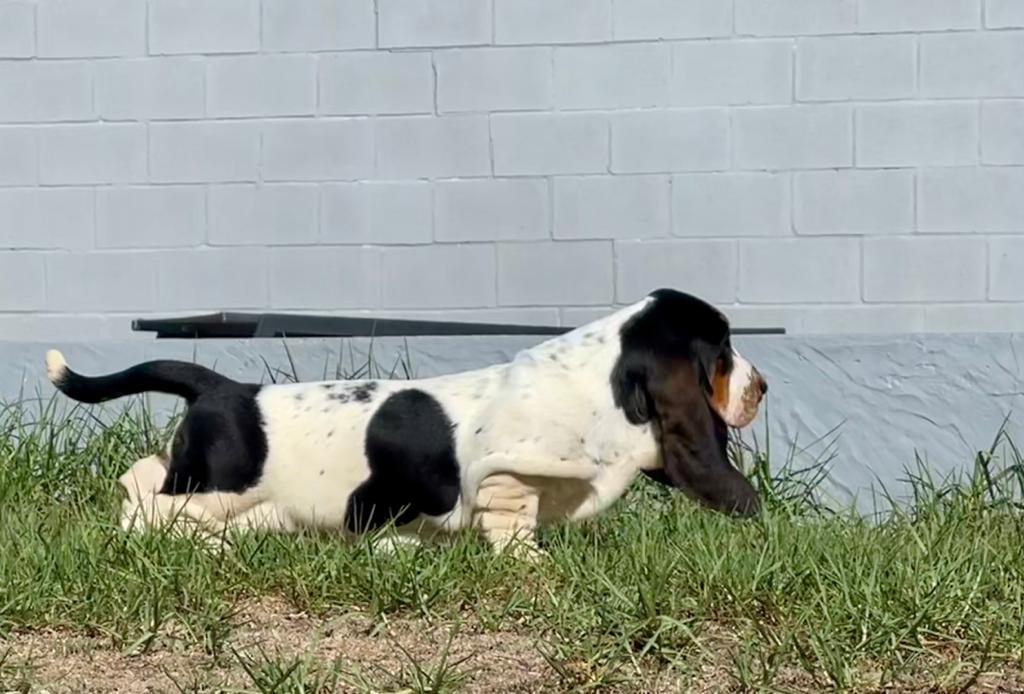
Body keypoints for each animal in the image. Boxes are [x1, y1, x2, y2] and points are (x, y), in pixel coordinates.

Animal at [46, 290, 770, 556]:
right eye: (722, 353)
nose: (762, 387)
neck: (603, 384)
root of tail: (224, 387)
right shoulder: (507, 477)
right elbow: (514, 527)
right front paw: (529, 562)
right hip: (220, 488)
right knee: (155, 507)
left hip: (225, 490)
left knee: (142, 477)